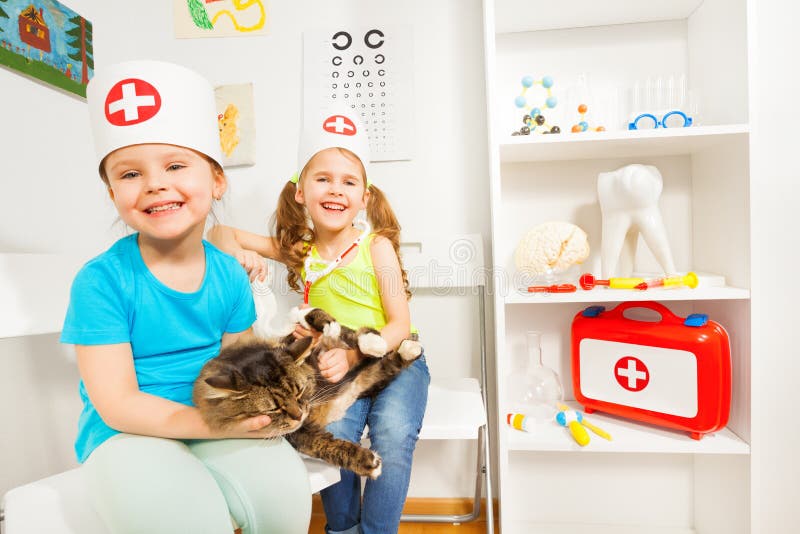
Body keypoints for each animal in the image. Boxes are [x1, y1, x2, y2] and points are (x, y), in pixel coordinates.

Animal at [192, 308, 424, 480]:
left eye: (299, 391)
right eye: (274, 409)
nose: (299, 415)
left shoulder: (291, 341)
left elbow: (314, 319)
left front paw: (326, 324)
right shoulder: (301, 435)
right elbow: (330, 446)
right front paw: (369, 462)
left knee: (361, 341)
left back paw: (382, 343)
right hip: (373, 377)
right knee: (388, 363)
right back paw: (407, 349)